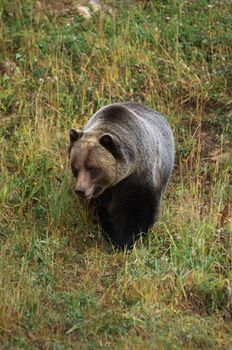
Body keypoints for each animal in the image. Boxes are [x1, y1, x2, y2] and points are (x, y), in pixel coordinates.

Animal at [68, 101, 174, 249]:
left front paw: (123, 241)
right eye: (75, 167)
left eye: (91, 167)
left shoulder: (138, 181)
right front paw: (109, 233)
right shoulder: (101, 194)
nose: (80, 190)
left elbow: (136, 212)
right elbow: (102, 212)